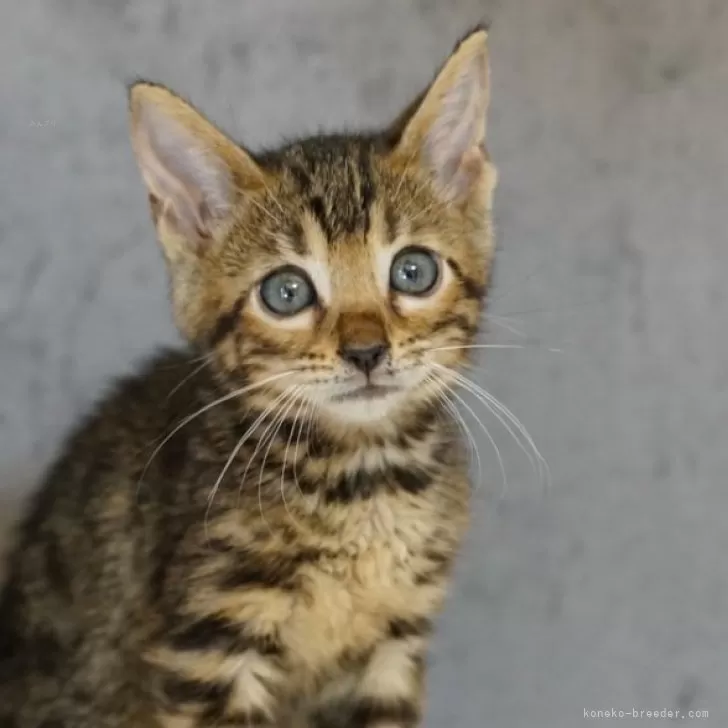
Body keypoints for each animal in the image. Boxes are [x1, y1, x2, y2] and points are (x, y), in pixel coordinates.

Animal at [0, 25, 498, 728]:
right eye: (286, 292)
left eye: (413, 272)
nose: (367, 351)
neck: (361, 480)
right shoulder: (212, 643)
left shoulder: (394, 648)